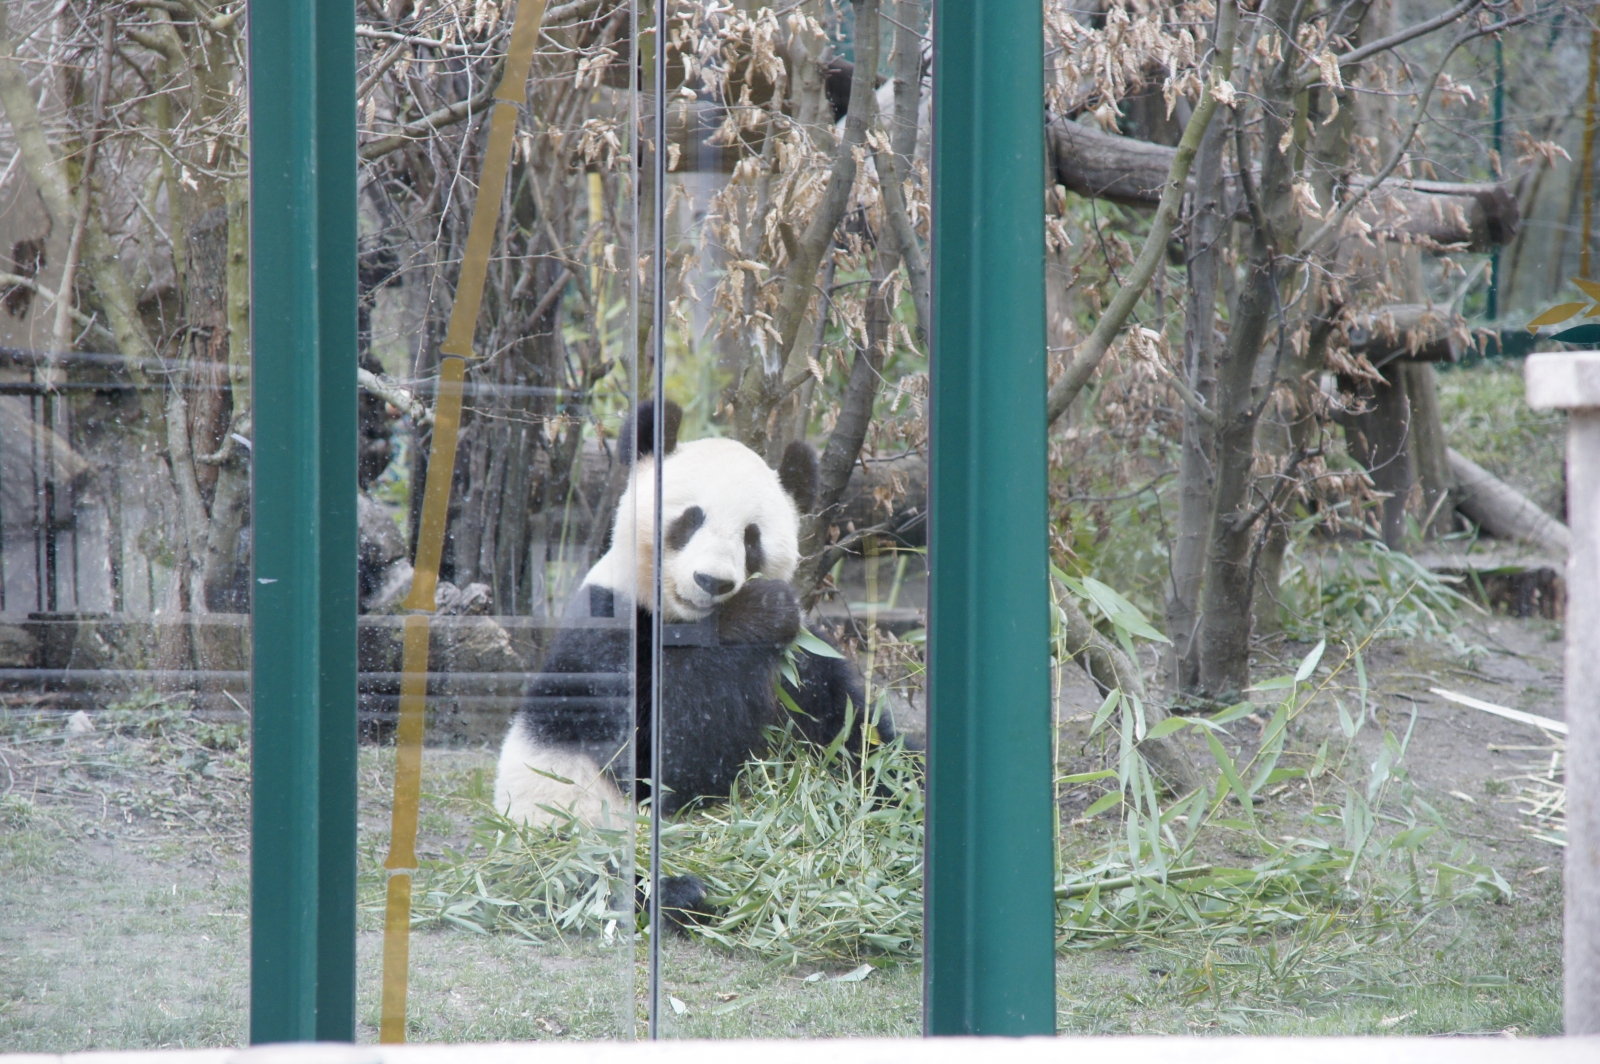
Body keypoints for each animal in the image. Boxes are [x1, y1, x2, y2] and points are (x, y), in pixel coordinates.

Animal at [492, 398, 883, 902]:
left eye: (751, 538)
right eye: (691, 519)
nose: (712, 582)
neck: (684, 620)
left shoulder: (807, 667)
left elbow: (848, 731)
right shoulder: (603, 640)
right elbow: (663, 756)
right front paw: (762, 612)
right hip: (569, 841)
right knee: (608, 881)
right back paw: (688, 893)